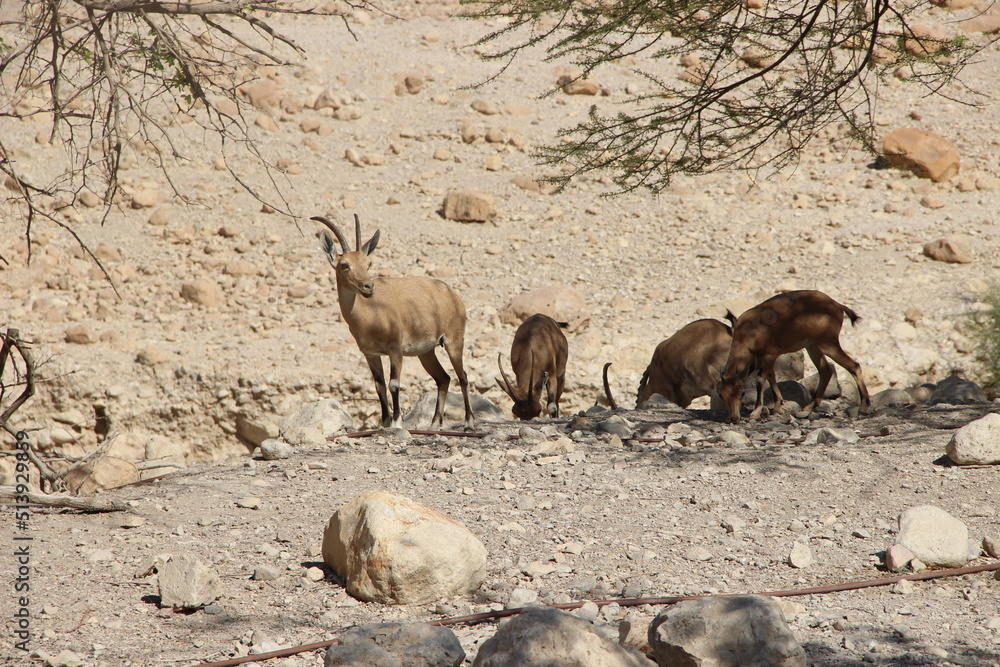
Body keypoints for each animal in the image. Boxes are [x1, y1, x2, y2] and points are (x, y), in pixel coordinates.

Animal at [312, 214, 473, 430]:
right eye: (344, 265)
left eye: (368, 263)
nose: (368, 286)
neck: (370, 316)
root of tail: (452, 293)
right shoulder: (371, 354)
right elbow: (379, 385)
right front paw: (384, 423)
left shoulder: (395, 350)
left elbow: (394, 384)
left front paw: (396, 423)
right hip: (426, 352)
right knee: (443, 378)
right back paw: (433, 425)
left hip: (453, 341)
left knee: (462, 377)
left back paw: (469, 422)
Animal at [719, 290, 872, 423]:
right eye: (721, 395)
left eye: (742, 393)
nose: (733, 418)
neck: (751, 331)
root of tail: (837, 305)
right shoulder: (762, 358)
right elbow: (771, 376)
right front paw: (778, 406)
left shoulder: (770, 354)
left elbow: (761, 379)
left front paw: (756, 412)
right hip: (813, 347)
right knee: (826, 371)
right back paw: (809, 407)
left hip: (827, 343)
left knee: (854, 366)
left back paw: (864, 407)